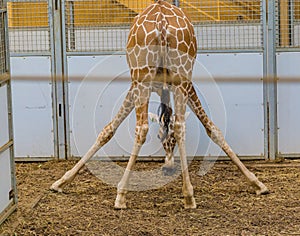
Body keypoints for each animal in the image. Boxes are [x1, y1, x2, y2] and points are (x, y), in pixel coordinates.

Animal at [50, 0, 268, 209]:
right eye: (162, 139)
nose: (167, 168)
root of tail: (162, 22)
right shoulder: (179, 85)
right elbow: (211, 128)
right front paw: (258, 183)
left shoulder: (137, 84)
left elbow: (108, 129)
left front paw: (60, 182)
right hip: (180, 76)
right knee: (179, 126)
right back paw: (189, 196)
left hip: (144, 78)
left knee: (141, 128)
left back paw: (121, 196)